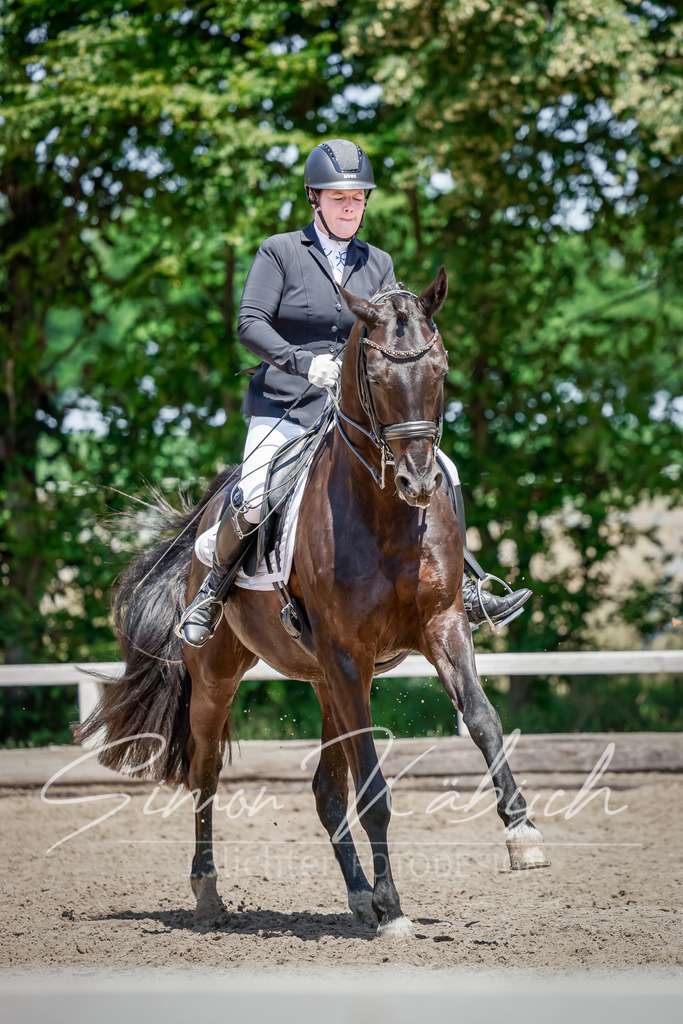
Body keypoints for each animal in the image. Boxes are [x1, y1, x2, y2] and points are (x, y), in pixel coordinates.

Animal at [80, 267, 549, 939]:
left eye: (440, 369)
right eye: (374, 376)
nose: (418, 482)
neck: (386, 517)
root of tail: (208, 509)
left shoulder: (442, 626)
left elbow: (484, 721)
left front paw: (523, 833)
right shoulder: (349, 656)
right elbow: (373, 787)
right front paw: (396, 912)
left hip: (327, 679)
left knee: (326, 792)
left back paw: (359, 897)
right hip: (224, 674)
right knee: (205, 773)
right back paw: (210, 893)